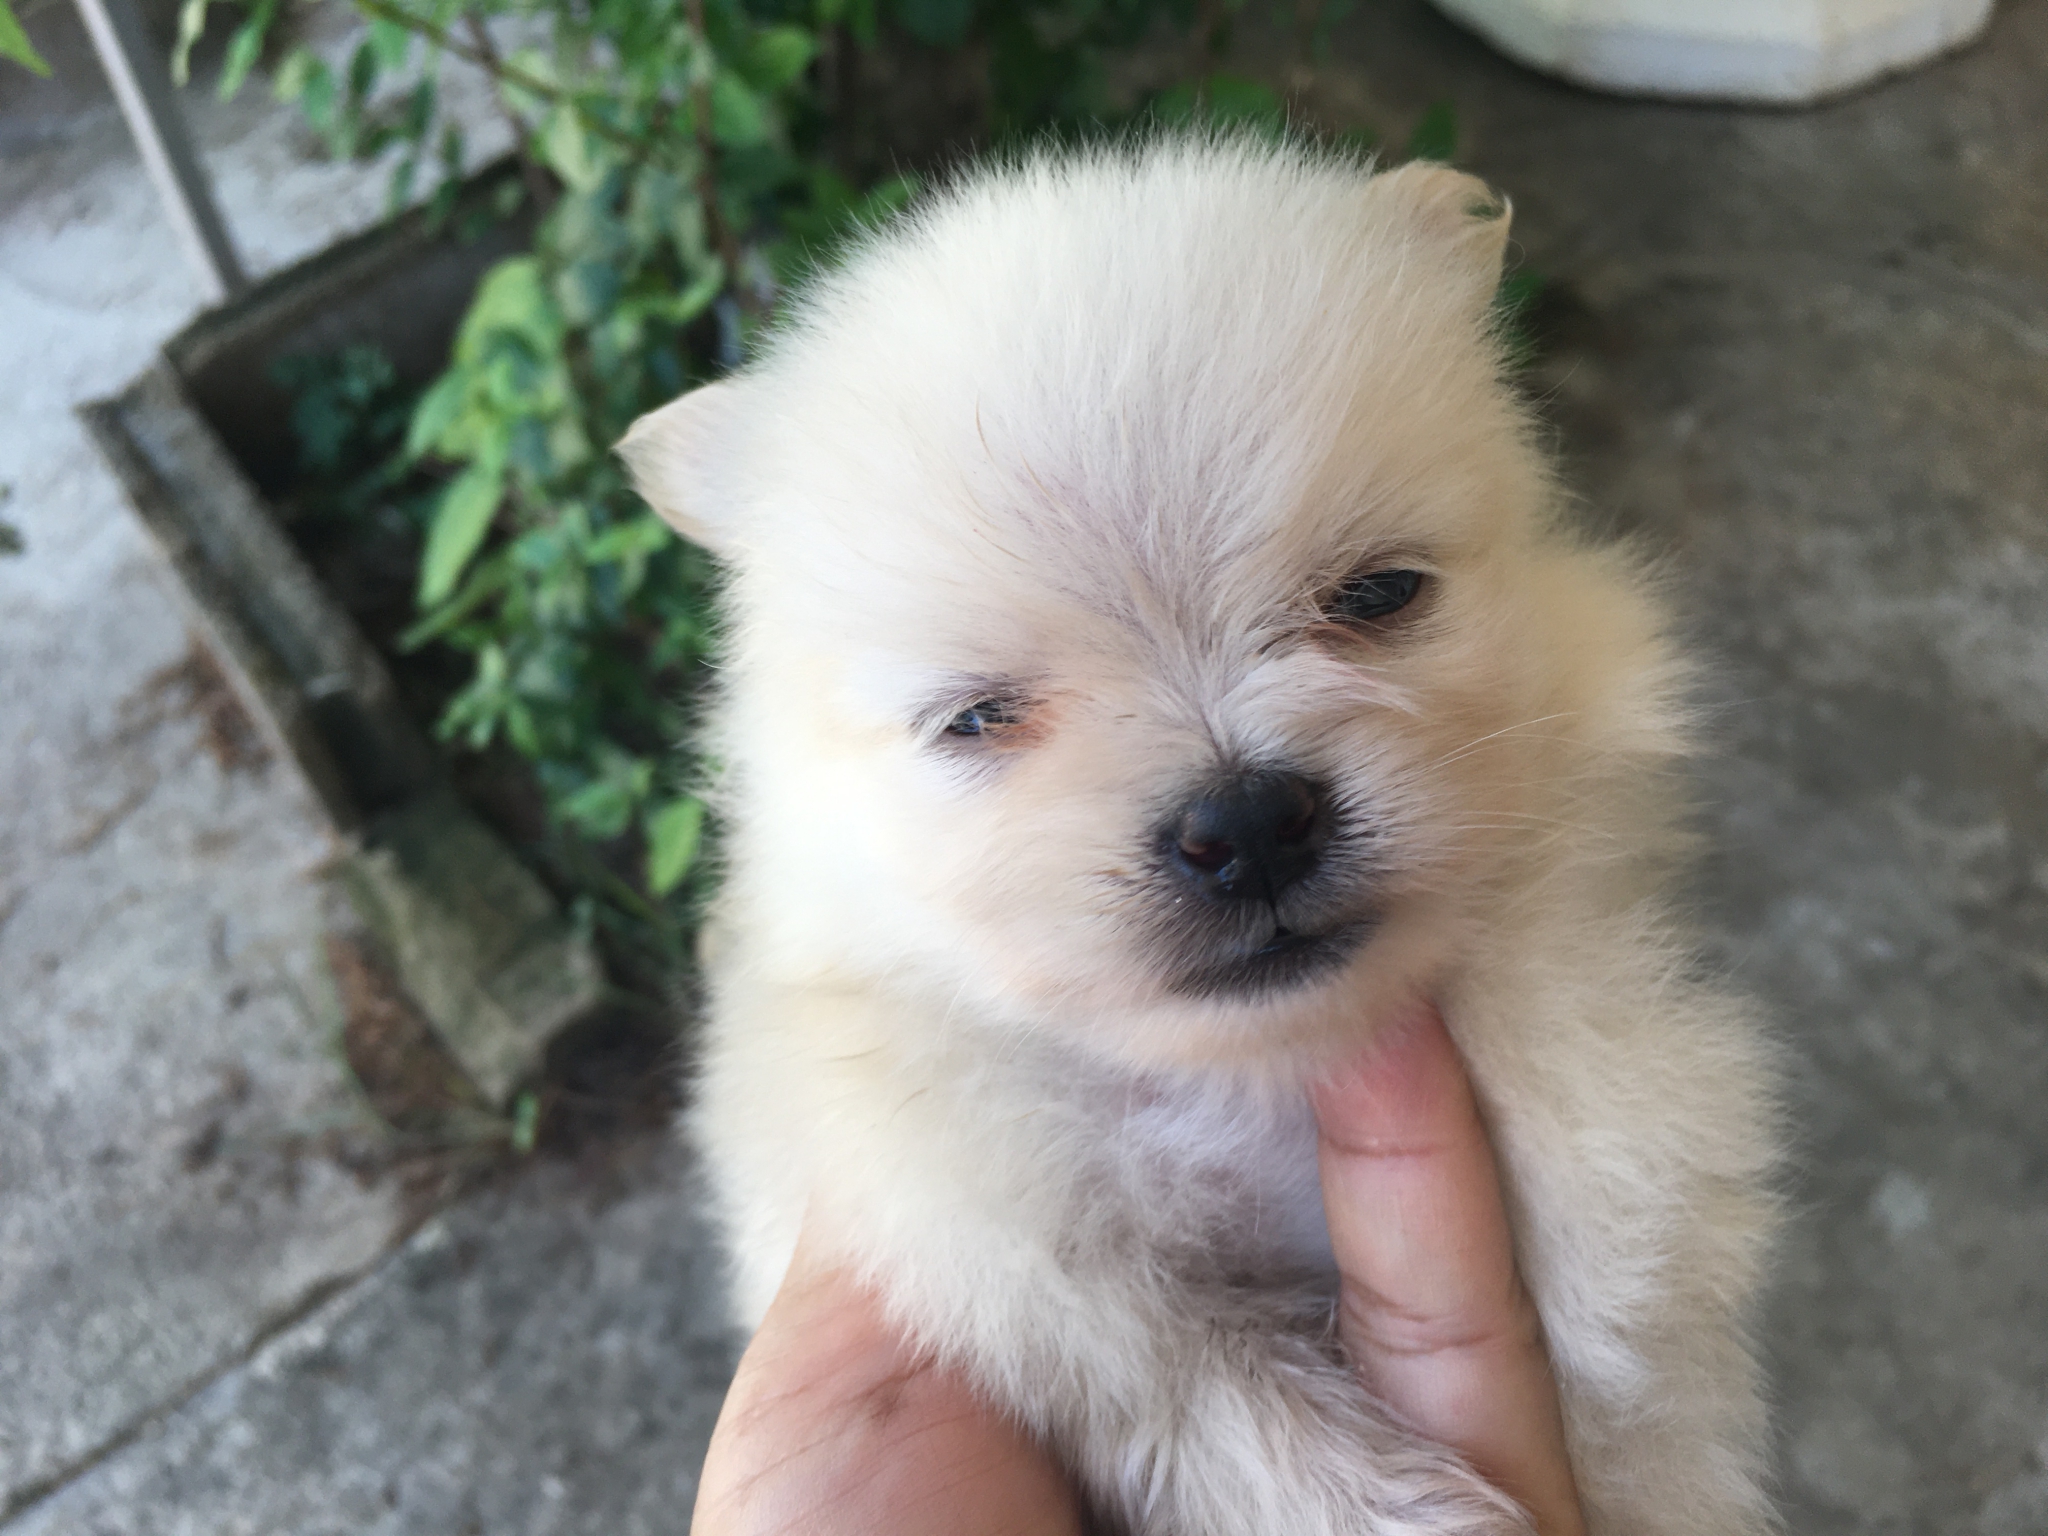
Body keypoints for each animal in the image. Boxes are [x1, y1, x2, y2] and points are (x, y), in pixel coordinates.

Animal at [621, 135, 1778, 1536]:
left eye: (1377, 593)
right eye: (977, 718)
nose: (1245, 824)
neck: (1252, 1073)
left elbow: (1612, 1205)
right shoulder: (977, 1219)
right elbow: (1184, 1381)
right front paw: (1394, 1503)